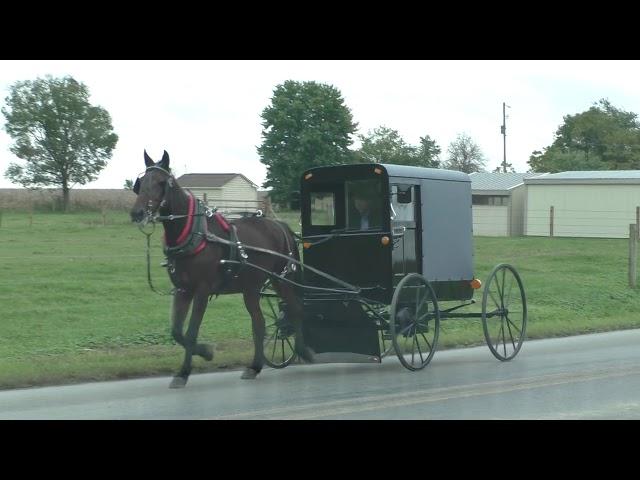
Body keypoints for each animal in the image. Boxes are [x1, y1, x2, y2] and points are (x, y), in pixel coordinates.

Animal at [130, 150, 312, 386]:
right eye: (140, 183)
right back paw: (255, 366)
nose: (137, 213)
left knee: (296, 309)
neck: (195, 234)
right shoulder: (183, 290)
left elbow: (191, 331)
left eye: (161, 182)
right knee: (259, 323)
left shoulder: (202, 290)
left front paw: (186, 370)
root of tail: (280, 226)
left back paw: (302, 350)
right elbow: (177, 332)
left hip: (281, 279)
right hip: (251, 287)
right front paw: (203, 354)